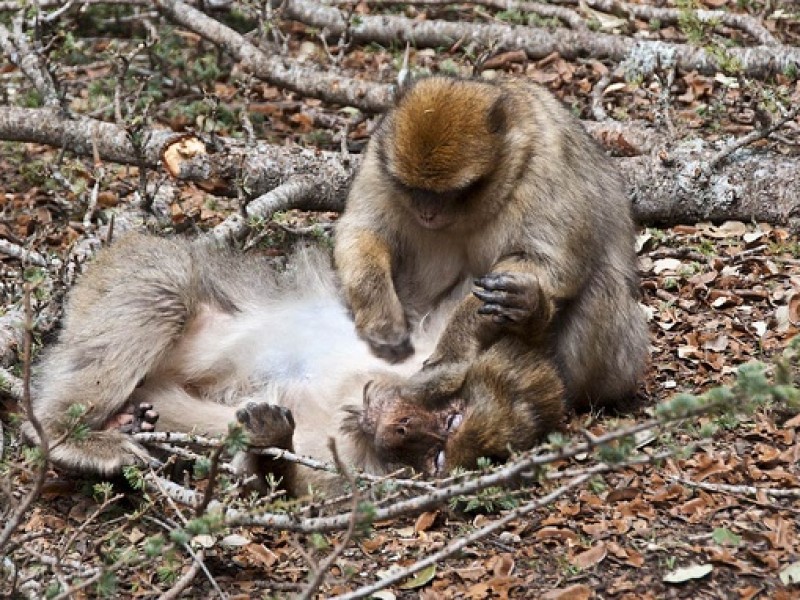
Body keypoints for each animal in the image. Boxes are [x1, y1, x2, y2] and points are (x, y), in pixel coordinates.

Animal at [25, 232, 564, 494]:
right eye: (451, 418)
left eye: (437, 456)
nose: (402, 428)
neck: (356, 393)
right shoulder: (418, 346)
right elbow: (457, 302)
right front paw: (525, 307)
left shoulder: (354, 464)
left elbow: (278, 484)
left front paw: (271, 443)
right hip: (128, 270)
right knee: (166, 283)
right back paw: (64, 434)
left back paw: (128, 422)